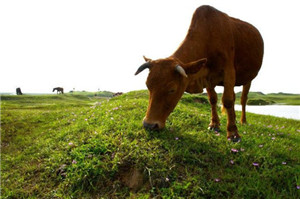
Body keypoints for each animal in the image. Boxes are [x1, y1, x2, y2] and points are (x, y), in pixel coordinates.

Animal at [135, 5, 264, 141]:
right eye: (148, 86)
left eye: (172, 89)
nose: (149, 125)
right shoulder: (208, 77)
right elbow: (213, 99)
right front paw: (214, 124)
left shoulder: (229, 71)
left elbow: (228, 100)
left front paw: (233, 133)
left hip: (248, 79)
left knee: (243, 99)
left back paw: (242, 121)